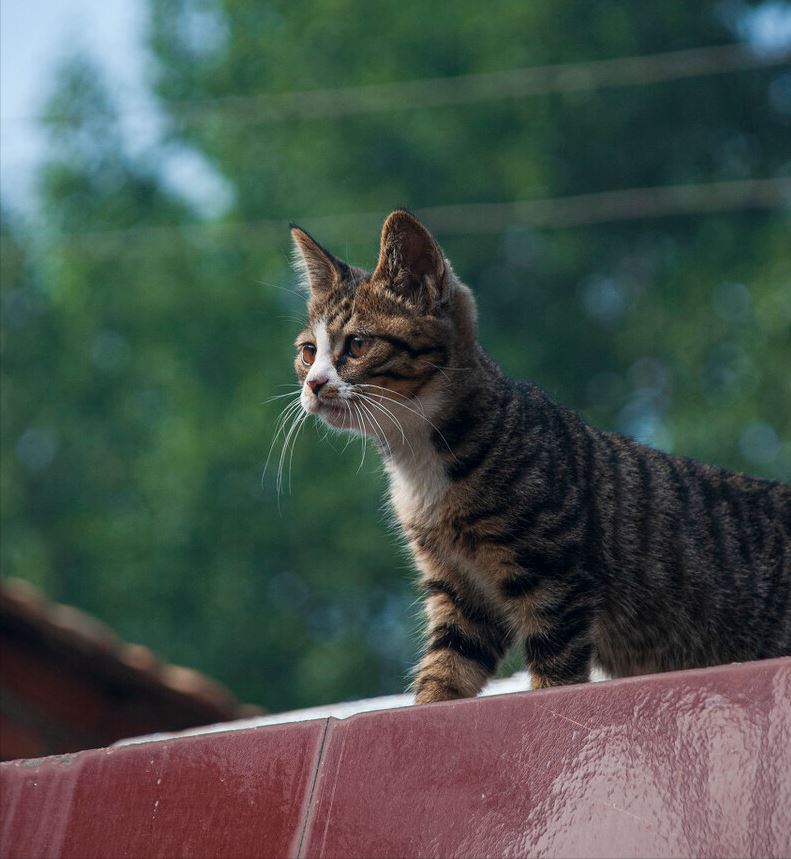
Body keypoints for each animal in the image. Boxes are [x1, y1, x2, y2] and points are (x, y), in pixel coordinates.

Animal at [290, 210, 791, 704]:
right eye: (308, 352)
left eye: (357, 345)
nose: (313, 384)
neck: (420, 457)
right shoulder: (461, 592)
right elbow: (447, 666)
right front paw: (428, 705)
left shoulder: (556, 578)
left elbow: (555, 675)